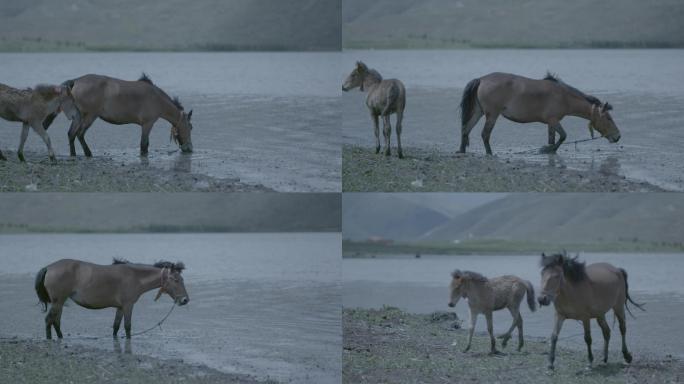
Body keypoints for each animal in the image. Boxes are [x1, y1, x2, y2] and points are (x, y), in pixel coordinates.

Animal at [35, 258, 187, 340]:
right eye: (176, 280)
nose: (185, 300)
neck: (135, 277)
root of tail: (48, 267)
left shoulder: (120, 307)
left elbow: (116, 327)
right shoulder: (128, 305)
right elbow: (127, 326)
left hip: (60, 303)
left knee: (56, 322)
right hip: (58, 302)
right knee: (49, 320)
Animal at [45, 73, 194, 158]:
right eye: (191, 127)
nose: (189, 149)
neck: (156, 98)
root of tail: (75, 81)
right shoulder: (147, 124)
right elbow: (144, 145)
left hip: (79, 117)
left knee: (72, 134)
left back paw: (76, 154)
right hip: (89, 116)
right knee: (79, 134)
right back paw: (87, 154)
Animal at [460, 72, 620, 154]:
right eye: (608, 118)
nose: (618, 137)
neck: (564, 96)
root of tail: (481, 79)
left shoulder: (550, 123)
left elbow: (553, 139)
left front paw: (550, 150)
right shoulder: (554, 120)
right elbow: (563, 136)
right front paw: (546, 150)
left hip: (478, 112)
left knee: (466, 129)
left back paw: (461, 151)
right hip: (492, 115)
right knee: (485, 134)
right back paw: (490, 154)